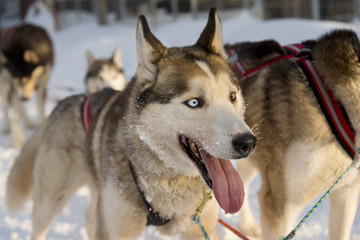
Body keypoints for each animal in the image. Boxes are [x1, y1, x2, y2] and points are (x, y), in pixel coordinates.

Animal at [5, 8, 258, 240]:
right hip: (50, 201)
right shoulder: (115, 230)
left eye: (232, 96)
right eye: (194, 102)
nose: (247, 143)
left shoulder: (199, 228)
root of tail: (67, 102)